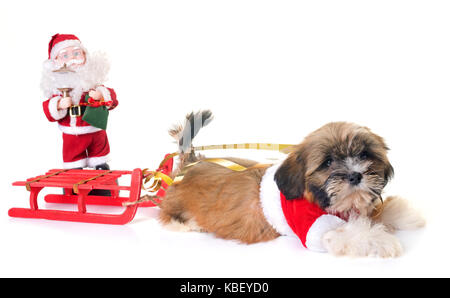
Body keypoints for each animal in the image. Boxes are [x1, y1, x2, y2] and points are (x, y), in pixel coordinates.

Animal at [158, 110, 426, 258]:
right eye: (328, 162)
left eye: (364, 155)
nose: (355, 175)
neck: (316, 197)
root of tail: (190, 162)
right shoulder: (312, 226)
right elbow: (349, 232)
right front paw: (380, 240)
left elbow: (374, 212)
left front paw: (405, 214)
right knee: (167, 216)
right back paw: (189, 223)